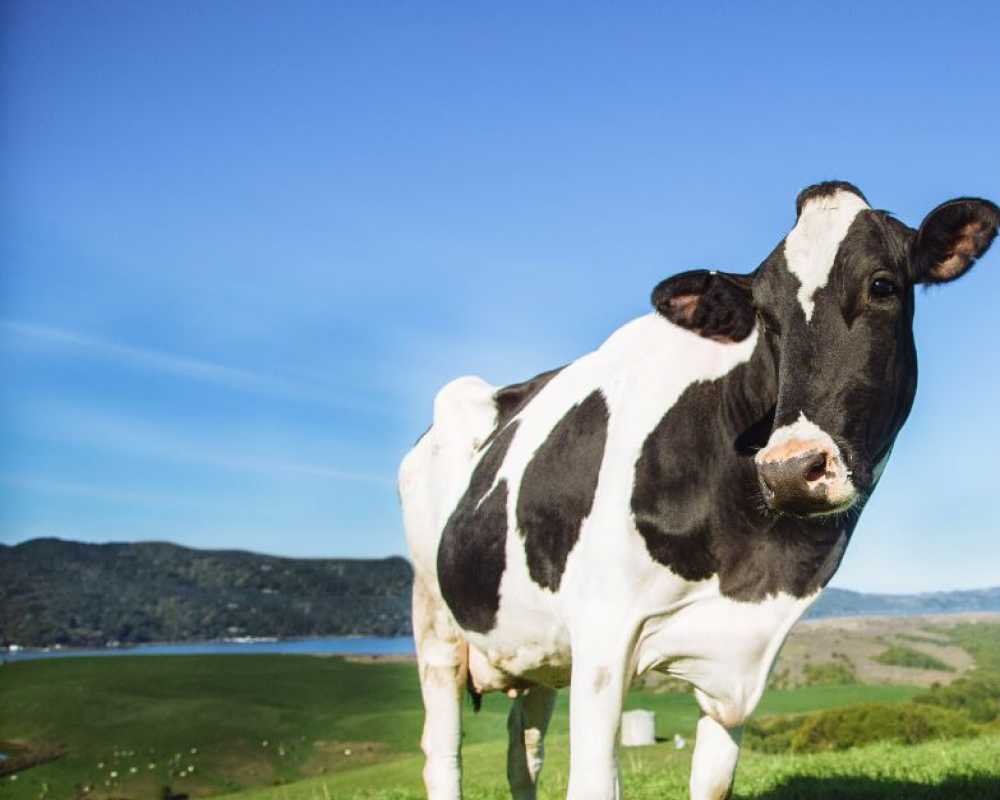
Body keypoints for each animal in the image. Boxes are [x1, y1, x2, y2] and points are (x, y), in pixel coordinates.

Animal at [400, 183, 1000, 800]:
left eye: (882, 285)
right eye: (763, 315)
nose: (790, 470)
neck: (757, 561)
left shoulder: (739, 662)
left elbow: (712, 783)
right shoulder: (601, 639)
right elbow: (592, 779)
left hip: (533, 647)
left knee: (525, 753)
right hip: (434, 620)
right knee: (442, 751)